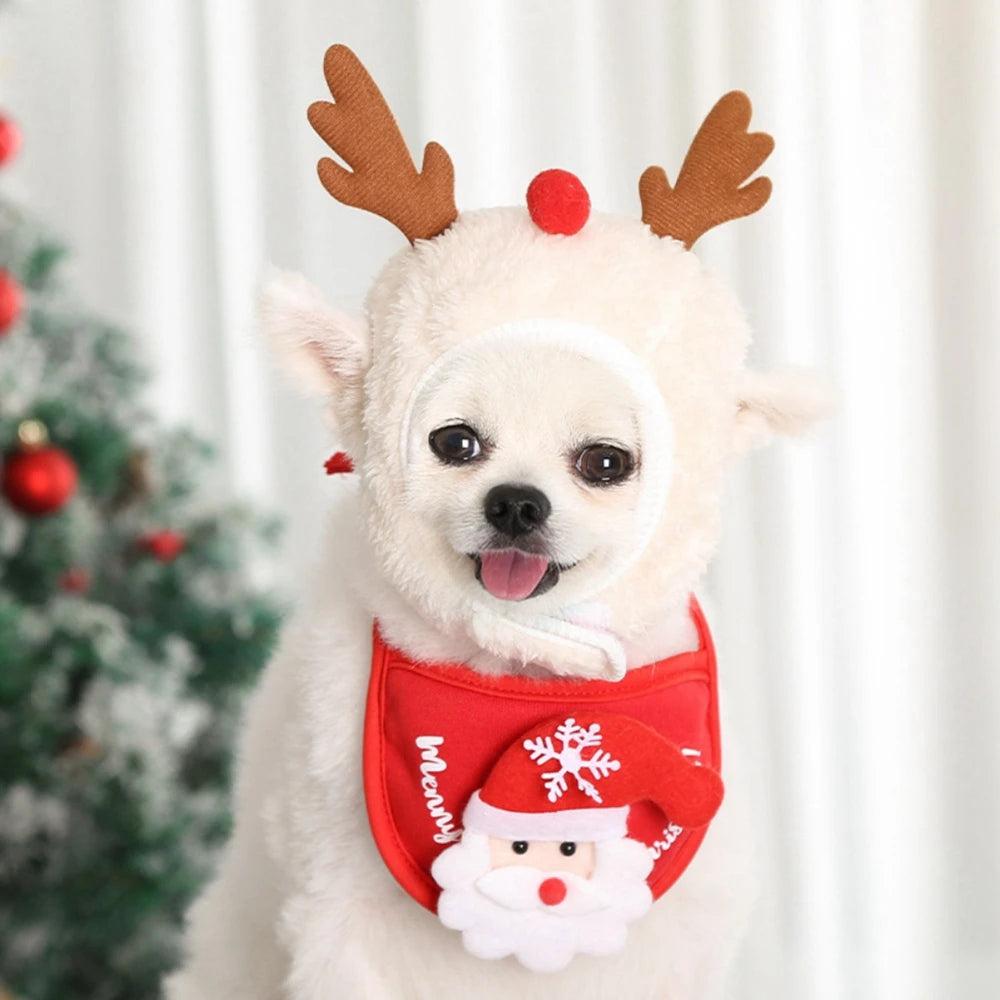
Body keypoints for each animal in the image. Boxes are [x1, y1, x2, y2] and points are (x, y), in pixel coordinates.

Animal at [166, 43, 828, 996]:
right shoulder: (342, 918)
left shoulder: (670, 940)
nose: (517, 501)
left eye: (604, 462)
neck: (529, 676)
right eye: (456, 442)